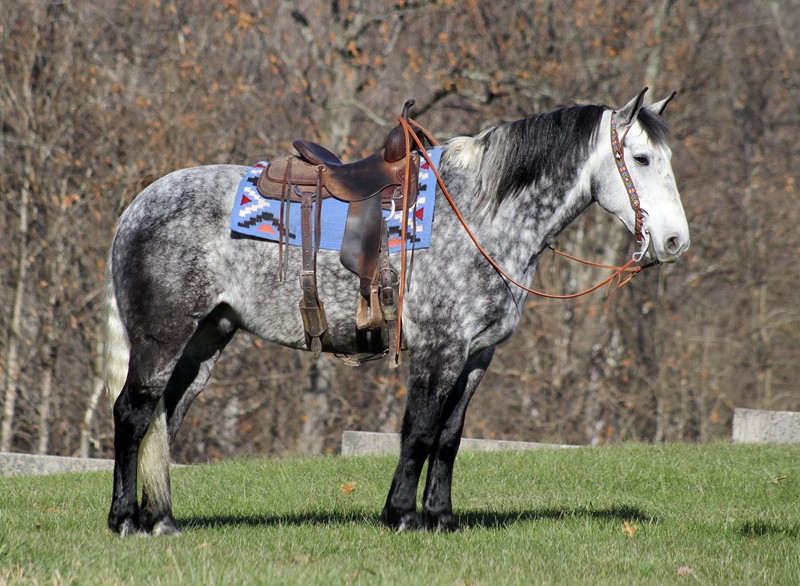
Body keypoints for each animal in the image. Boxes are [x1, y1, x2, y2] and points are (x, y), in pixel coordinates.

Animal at [104, 88, 690, 536]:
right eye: (641, 159)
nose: (674, 241)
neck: (481, 215)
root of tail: (135, 208)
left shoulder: (476, 356)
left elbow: (450, 438)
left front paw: (442, 518)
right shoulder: (439, 349)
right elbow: (419, 431)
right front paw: (403, 515)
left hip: (206, 339)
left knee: (166, 416)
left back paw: (161, 520)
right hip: (161, 338)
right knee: (133, 412)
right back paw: (125, 520)